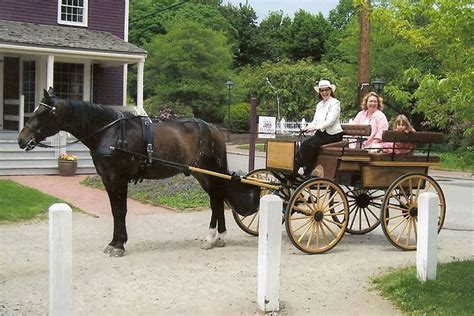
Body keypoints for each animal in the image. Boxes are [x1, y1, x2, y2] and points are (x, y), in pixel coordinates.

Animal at [18, 87, 258, 256]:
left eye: (42, 113)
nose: (21, 139)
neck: (110, 133)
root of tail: (214, 129)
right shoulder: (108, 180)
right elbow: (115, 210)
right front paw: (114, 242)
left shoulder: (119, 178)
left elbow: (121, 210)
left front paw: (119, 245)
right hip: (203, 175)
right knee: (216, 200)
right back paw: (219, 237)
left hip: (208, 172)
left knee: (216, 200)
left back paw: (211, 237)